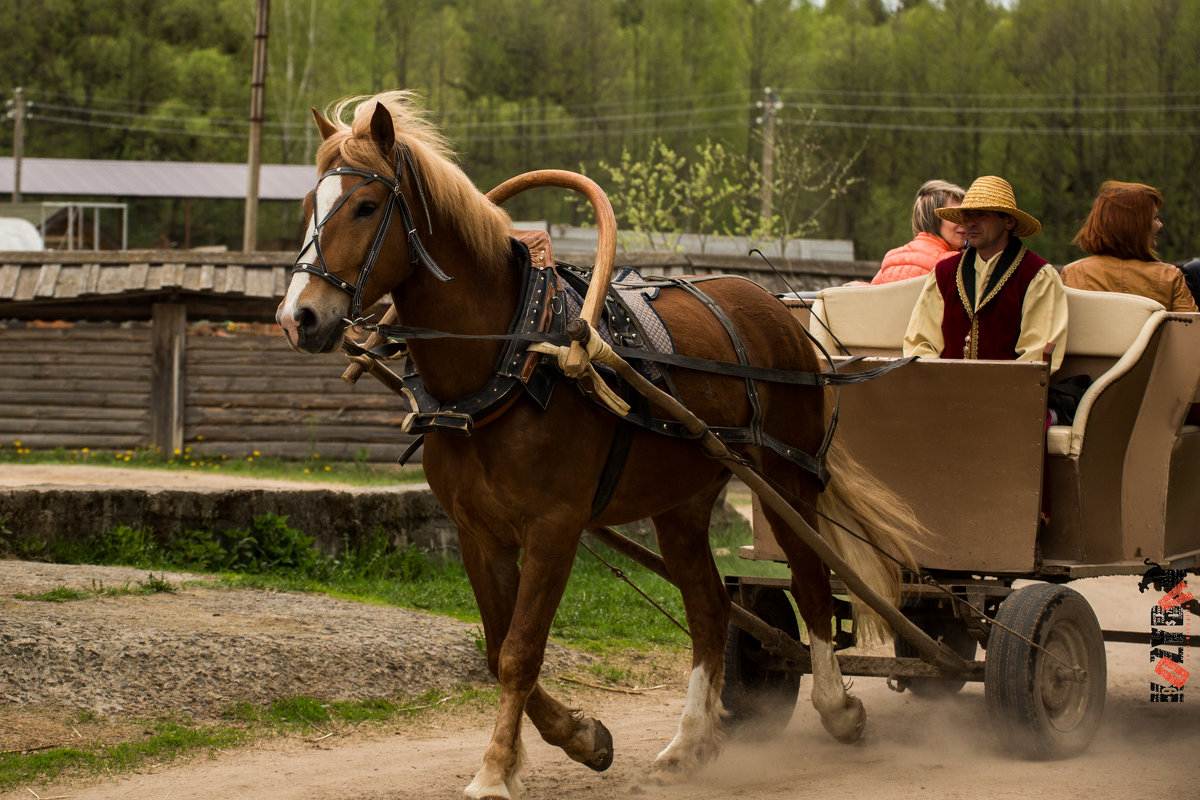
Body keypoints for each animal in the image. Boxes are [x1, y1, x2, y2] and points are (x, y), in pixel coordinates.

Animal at [278, 90, 916, 796]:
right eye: (308, 207)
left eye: (365, 206)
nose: (298, 317)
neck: (514, 358)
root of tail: (775, 307)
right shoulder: (478, 533)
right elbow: (497, 647)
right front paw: (581, 737)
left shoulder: (554, 527)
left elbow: (520, 651)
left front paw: (495, 770)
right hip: (683, 504)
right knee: (711, 608)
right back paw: (689, 742)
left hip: (786, 483)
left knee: (809, 585)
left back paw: (837, 709)